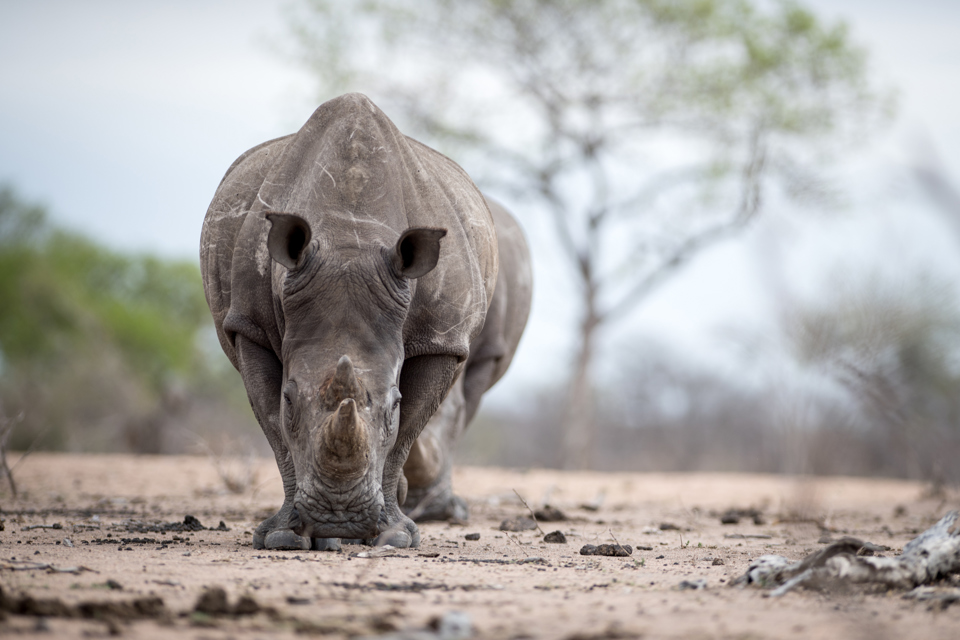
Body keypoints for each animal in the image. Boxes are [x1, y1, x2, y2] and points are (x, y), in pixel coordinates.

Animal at [200, 93, 531, 549]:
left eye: (393, 402)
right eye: (290, 398)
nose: (339, 520)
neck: (348, 241)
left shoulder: (442, 337)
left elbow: (406, 431)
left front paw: (394, 535)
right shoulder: (249, 325)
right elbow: (273, 425)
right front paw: (284, 535)